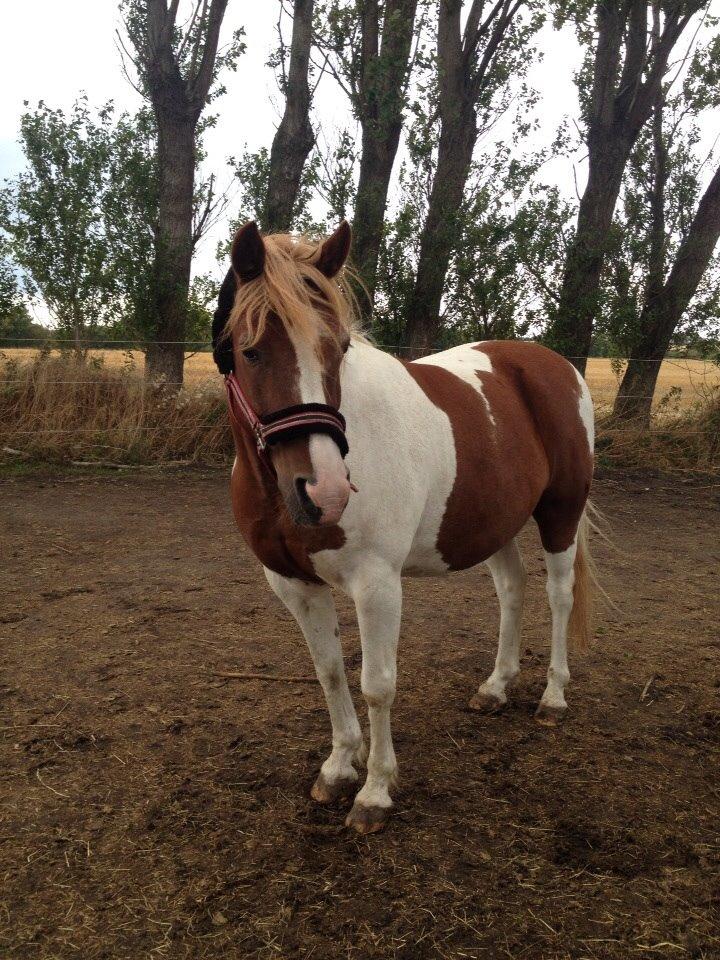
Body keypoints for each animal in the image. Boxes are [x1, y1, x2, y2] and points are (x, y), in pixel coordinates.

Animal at [214, 219, 596, 832]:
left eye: (340, 348)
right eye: (250, 351)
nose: (326, 491)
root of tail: (555, 366)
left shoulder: (377, 585)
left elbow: (377, 686)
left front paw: (374, 791)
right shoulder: (293, 583)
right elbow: (329, 672)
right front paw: (338, 767)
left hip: (560, 511)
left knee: (559, 595)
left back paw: (553, 698)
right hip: (495, 522)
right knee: (512, 590)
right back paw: (496, 686)